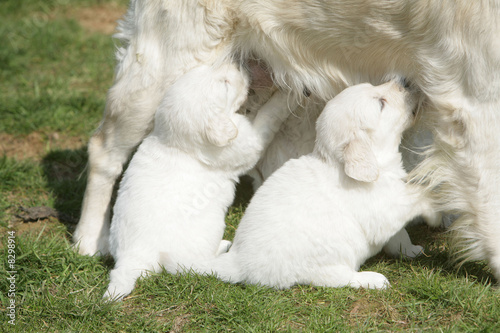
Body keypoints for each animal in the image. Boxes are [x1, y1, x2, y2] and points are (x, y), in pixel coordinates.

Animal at [104, 63, 294, 298]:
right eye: (225, 84)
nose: (241, 67)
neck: (174, 141)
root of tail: (130, 258)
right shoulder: (244, 143)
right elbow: (267, 117)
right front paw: (286, 97)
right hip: (203, 236)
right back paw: (222, 246)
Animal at [163, 80, 438, 288]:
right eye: (381, 103)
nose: (406, 80)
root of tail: (238, 262)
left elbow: (400, 237)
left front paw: (412, 251)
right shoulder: (383, 209)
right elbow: (411, 203)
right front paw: (433, 202)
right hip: (326, 263)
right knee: (336, 278)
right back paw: (372, 279)